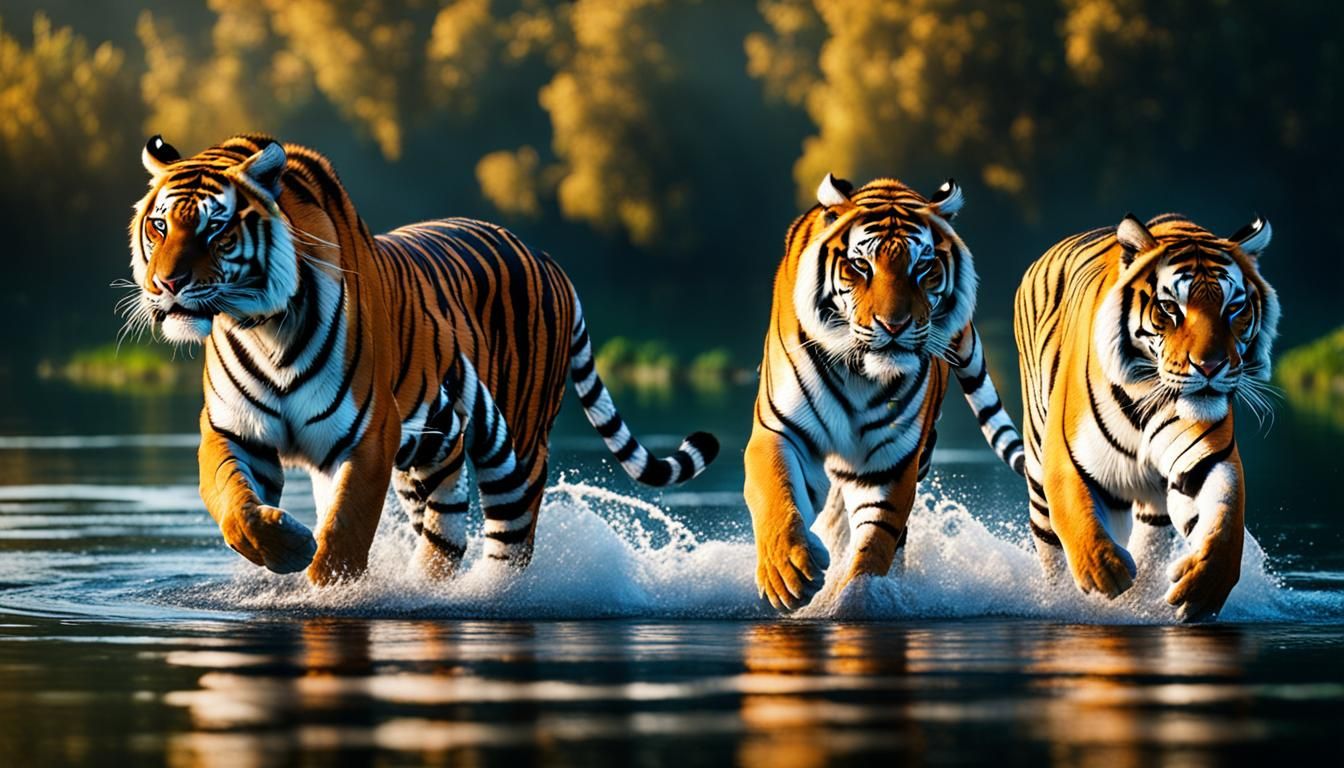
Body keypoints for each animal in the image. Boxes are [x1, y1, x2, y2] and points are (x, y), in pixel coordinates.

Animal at [125, 133, 719, 585]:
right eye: (160, 225)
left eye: (216, 229)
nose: (166, 284)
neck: (262, 327)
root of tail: (548, 259)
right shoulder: (231, 430)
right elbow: (235, 507)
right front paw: (288, 547)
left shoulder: (370, 436)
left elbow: (345, 529)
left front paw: (327, 587)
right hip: (431, 451)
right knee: (446, 531)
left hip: (518, 448)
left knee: (510, 541)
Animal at [747, 173, 1026, 611]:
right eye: (861, 265)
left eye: (923, 267)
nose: (894, 325)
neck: (860, 374)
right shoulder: (779, 429)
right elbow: (775, 493)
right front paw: (786, 575)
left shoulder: (891, 464)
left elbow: (876, 542)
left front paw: (858, 599)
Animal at [1014, 212, 1278, 621]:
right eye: (1170, 308)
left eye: (1233, 308)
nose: (1210, 366)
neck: (1147, 393)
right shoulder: (1065, 457)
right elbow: (1078, 515)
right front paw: (1104, 570)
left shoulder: (1208, 458)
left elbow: (1225, 521)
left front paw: (1203, 585)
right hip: (1039, 475)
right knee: (1051, 545)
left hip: (1154, 506)